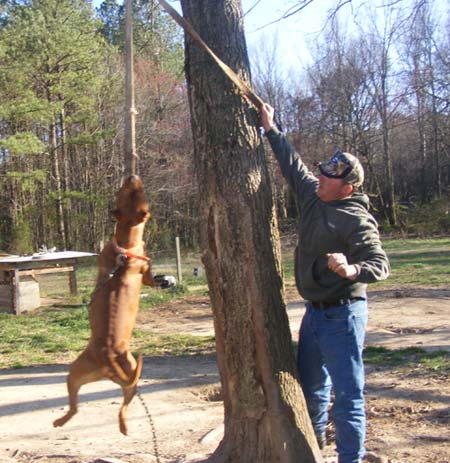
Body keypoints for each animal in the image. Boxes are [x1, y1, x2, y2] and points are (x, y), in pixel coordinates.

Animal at [53, 176, 156, 436]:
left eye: (135, 190)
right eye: (128, 190)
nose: (132, 176)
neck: (126, 246)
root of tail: (107, 359)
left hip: (85, 374)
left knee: (85, 407)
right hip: (115, 375)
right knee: (108, 407)